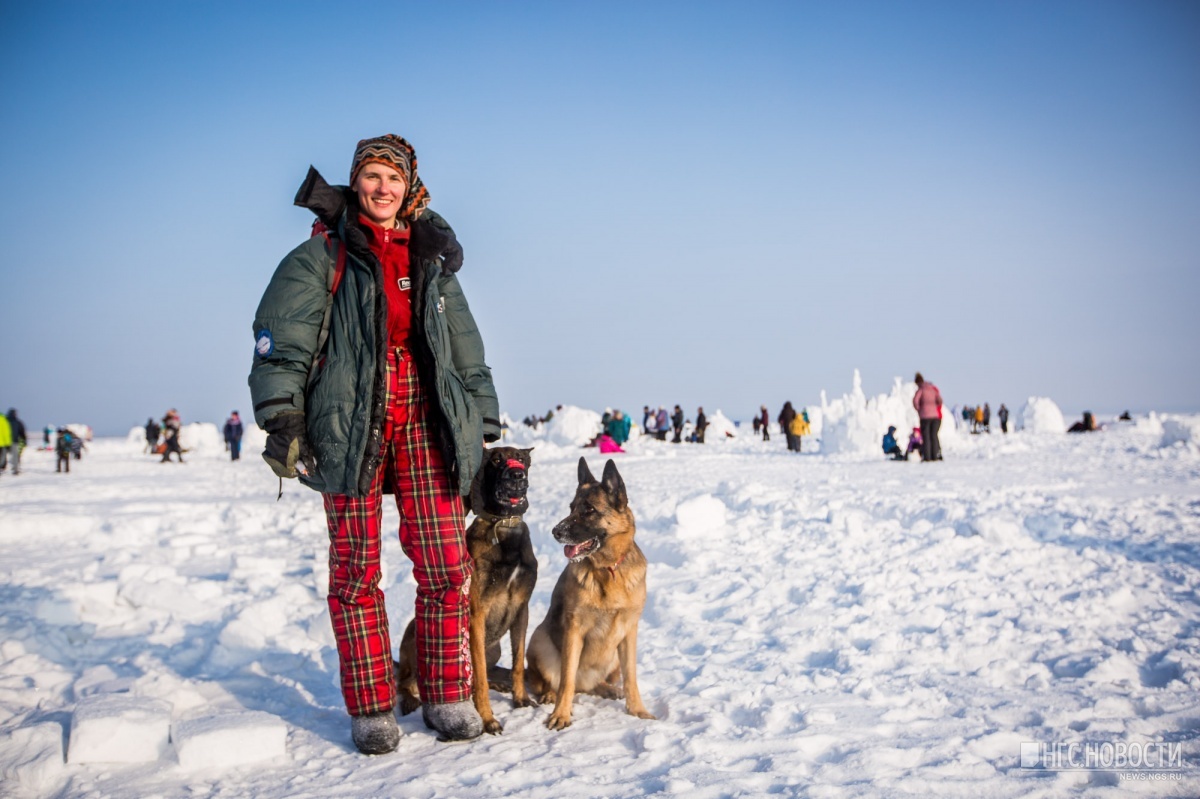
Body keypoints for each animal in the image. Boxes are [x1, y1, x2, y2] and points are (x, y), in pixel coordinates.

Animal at [396, 443, 537, 729]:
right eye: (496, 460)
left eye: (520, 458)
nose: (516, 476)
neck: (503, 526)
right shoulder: (477, 615)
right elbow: (478, 675)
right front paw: (487, 719)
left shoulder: (521, 610)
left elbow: (518, 663)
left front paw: (521, 699)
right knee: (405, 683)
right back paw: (411, 700)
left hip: (494, 648)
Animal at [528, 453, 657, 729]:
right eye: (571, 508)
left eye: (589, 510)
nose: (555, 532)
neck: (608, 570)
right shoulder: (574, 629)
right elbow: (566, 680)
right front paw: (561, 715)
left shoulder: (629, 632)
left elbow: (631, 678)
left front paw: (638, 711)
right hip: (540, 640)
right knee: (550, 681)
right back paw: (549, 694)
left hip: (613, 657)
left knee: (595, 683)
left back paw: (607, 688)